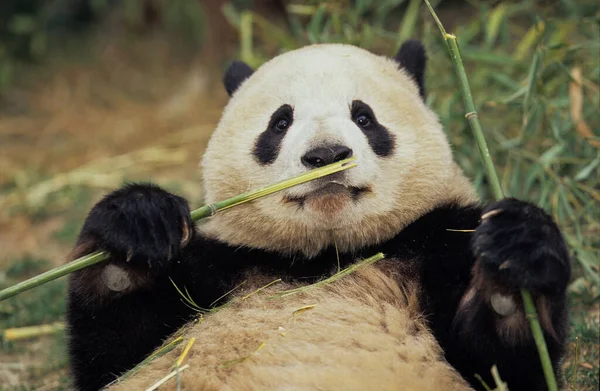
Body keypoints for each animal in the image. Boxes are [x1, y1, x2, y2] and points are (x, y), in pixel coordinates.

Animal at [65, 41, 572, 391]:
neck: (330, 257)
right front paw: (135, 233)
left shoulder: (439, 241)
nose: (327, 155)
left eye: (364, 117)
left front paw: (512, 265)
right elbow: (117, 355)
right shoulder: (227, 266)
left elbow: (504, 366)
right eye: (280, 122)